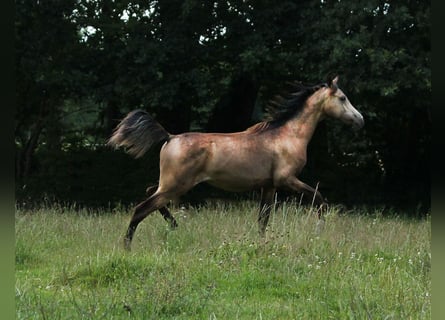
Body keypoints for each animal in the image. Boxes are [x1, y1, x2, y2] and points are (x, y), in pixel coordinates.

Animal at [108, 75, 364, 250]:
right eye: (342, 98)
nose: (360, 120)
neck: (288, 135)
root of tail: (169, 136)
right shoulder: (287, 180)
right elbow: (320, 200)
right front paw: (319, 231)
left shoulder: (269, 186)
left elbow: (263, 219)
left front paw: (262, 245)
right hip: (175, 185)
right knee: (141, 209)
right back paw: (128, 247)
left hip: (171, 185)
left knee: (151, 195)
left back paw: (174, 226)